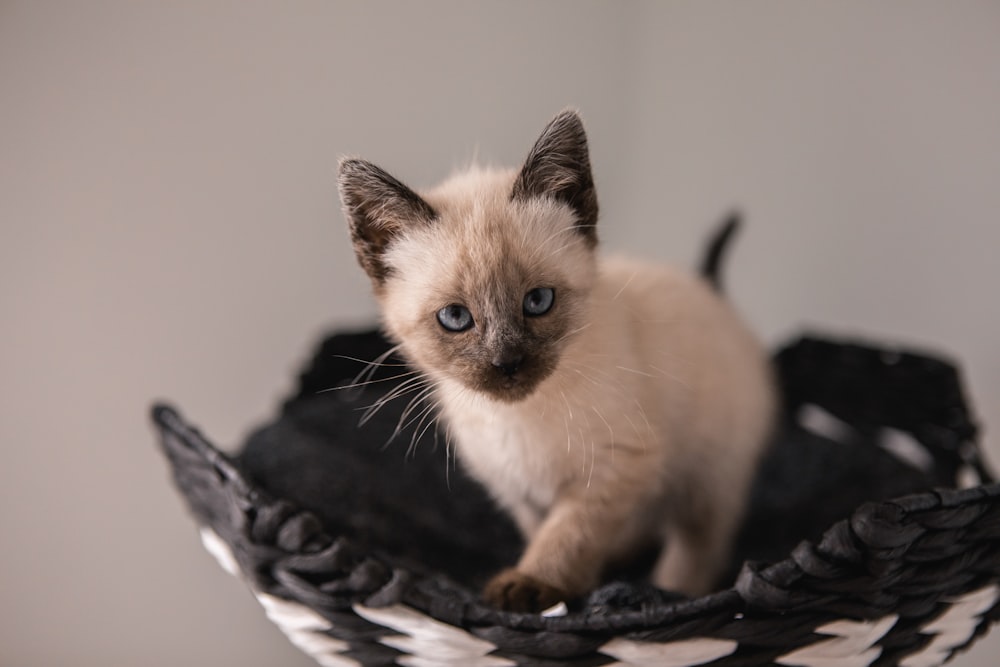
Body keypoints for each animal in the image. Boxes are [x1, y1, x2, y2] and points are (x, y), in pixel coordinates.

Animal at [336, 111, 772, 616]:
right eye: (456, 318)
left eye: (538, 301)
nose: (507, 363)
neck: (514, 419)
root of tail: (709, 288)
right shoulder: (520, 492)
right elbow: (546, 532)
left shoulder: (617, 466)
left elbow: (568, 534)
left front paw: (531, 586)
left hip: (710, 477)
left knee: (699, 546)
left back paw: (675, 589)